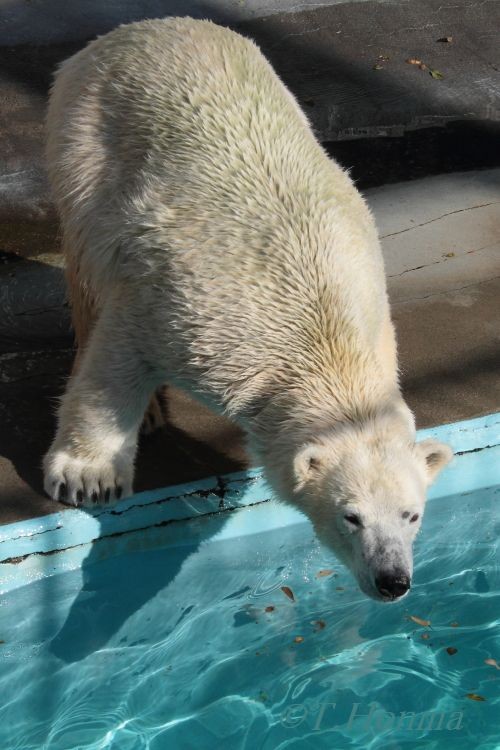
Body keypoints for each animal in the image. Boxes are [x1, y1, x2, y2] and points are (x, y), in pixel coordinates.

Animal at [44, 17, 454, 604]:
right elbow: (119, 356)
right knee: (87, 263)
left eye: (411, 514)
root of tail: (141, 27)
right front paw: (89, 477)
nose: (392, 581)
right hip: (88, 136)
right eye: (350, 517)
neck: (321, 332)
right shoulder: (188, 310)